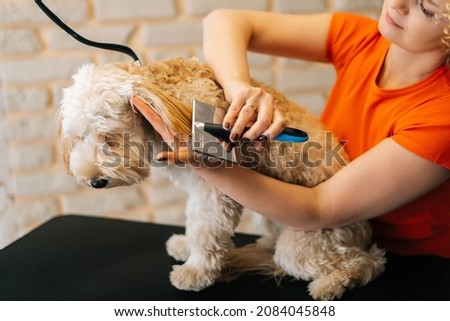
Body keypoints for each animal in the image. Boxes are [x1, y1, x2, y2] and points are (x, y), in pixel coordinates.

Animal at [58, 56, 384, 298]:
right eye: (77, 138)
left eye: (110, 138)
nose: (95, 181)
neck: (167, 97)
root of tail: (366, 227)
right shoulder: (196, 186)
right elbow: (194, 220)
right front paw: (186, 246)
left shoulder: (214, 187)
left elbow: (207, 229)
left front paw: (196, 271)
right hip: (269, 216)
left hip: (310, 243)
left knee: (369, 261)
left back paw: (330, 284)